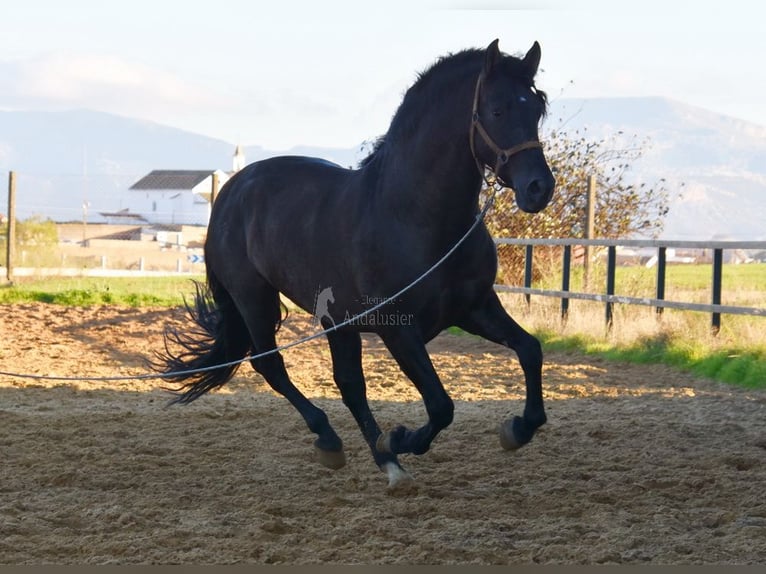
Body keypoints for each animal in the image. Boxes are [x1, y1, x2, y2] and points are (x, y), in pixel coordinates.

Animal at [160, 40, 560, 490]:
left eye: (536, 108)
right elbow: (441, 405)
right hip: (253, 297)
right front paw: (400, 438)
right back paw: (336, 441)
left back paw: (382, 460)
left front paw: (518, 429)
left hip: (336, 323)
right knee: (271, 365)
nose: (539, 188)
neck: (414, 217)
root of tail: (231, 190)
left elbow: (530, 350)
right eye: (496, 110)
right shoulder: (398, 328)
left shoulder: (475, 308)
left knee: (349, 385)